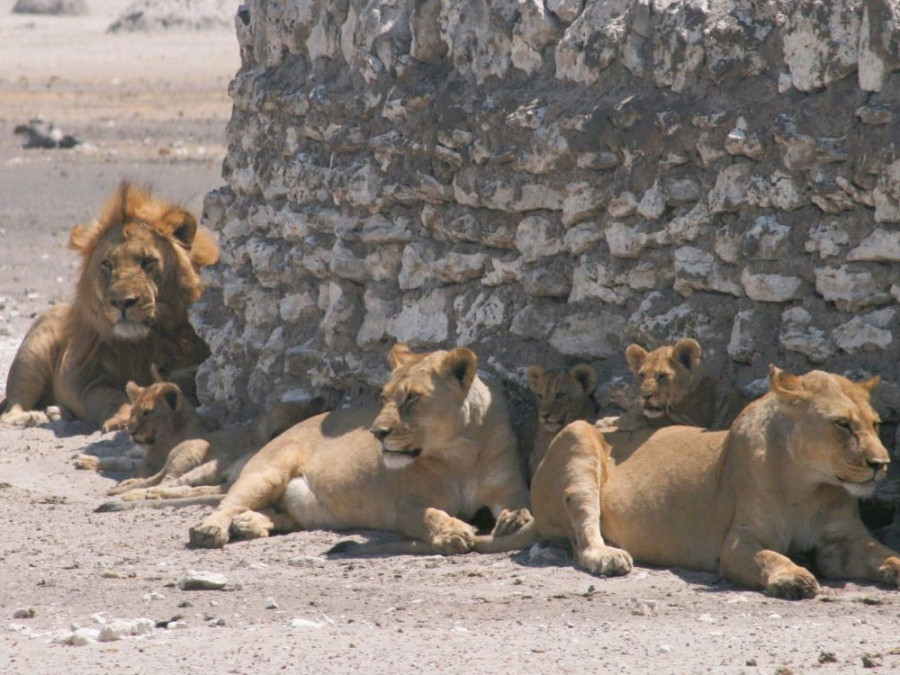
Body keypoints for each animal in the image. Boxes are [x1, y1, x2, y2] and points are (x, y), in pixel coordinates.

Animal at [0, 182, 218, 430]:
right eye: (107, 264)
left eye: (148, 262)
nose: (122, 302)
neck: (146, 342)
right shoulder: (88, 379)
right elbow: (115, 397)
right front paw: (123, 418)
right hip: (32, 354)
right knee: (11, 408)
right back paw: (31, 417)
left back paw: (57, 413)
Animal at [187, 346, 532, 552]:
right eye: (384, 397)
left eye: (412, 397)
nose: (377, 433)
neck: (461, 453)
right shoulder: (408, 505)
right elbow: (431, 515)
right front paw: (454, 532)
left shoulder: (509, 489)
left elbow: (519, 504)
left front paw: (516, 520)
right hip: (267, 474)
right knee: (228, 504)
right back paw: (210, 528)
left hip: (299, 508)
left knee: (279, 513)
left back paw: (250, 524)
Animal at [528, 368, 900, 600]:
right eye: (842, 424)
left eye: (876, 424)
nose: (881, 464)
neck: (808, 485)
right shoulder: (737, 542)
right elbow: (769, 557)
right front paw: (793, 577)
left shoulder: (843, 540)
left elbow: (881, 552)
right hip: (577, 436)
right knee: (583, 538)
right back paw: (608, 556)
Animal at [620, 340, 752, 430]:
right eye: (642, 375)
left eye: (662, 376)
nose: (646, 396)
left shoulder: (693, 422)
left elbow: (655, 418)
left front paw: (624, 419)